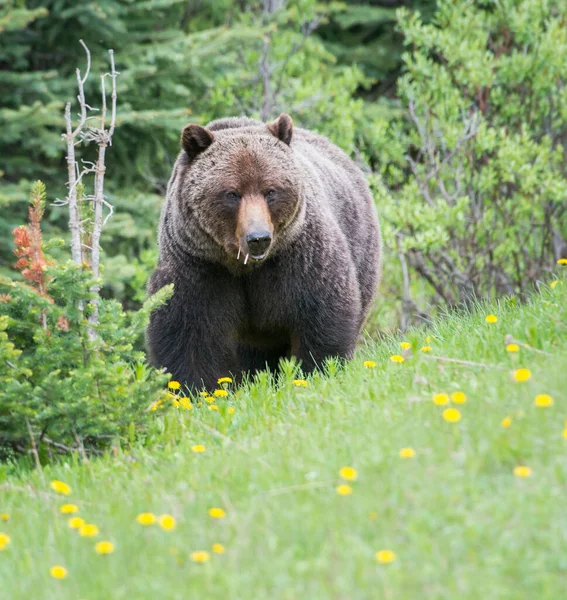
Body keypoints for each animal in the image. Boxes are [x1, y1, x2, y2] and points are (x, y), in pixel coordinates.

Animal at [149, 115, 384, 392]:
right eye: (232, 194)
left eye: (270, 191)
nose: (258, 238)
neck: (244, 265)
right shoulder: (200, 267)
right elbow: (190, 335)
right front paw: (199, 388)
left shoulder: (299, 257)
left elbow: (321, 314)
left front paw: (315, 371)